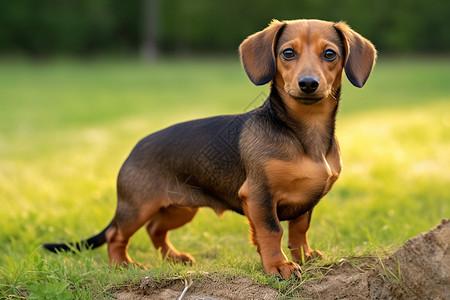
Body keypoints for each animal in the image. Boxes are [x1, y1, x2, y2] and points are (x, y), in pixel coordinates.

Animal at [44, 18, 376, 278]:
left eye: (330, 54)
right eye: (288, 53)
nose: (308, 83)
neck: (303, 133)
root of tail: (136, 147)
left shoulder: (306, 199)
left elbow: (299, 230)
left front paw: (304, 257)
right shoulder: (259, 195)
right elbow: (272, 231)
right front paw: (279, 266)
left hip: (180, 209)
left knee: (155, 230)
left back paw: (174, 258)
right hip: (137, 206)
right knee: (116, 234)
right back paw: (122, 265)